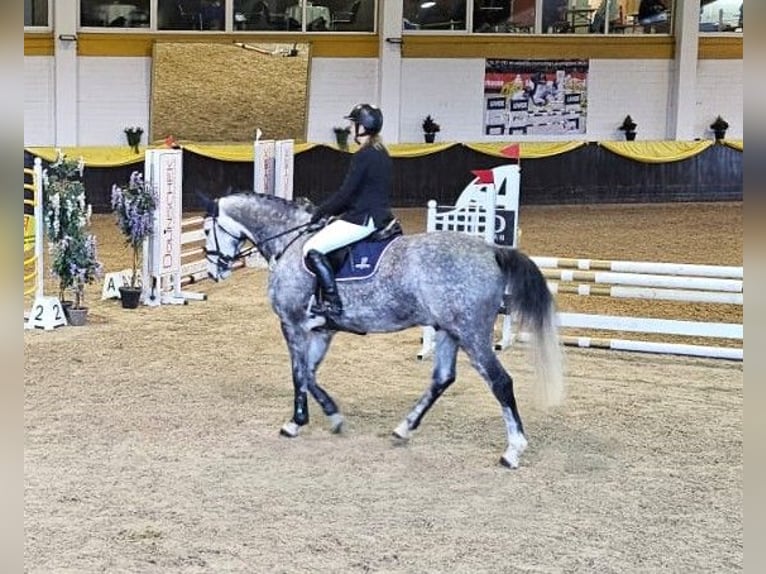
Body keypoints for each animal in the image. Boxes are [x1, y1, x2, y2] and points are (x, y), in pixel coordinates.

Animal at [202, 191, 564, 470]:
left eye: (206, 230)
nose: (214, 271)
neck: (291, 242)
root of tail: (492, 250)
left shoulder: (292, 324)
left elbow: (298, 374)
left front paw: (295, 423)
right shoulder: (321, 331)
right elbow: (310, 374)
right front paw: (333, 416)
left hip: (471, 333)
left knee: (500, 382)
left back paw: (512, 451)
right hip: (448, 330)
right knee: (442, 378)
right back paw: (404, 428)